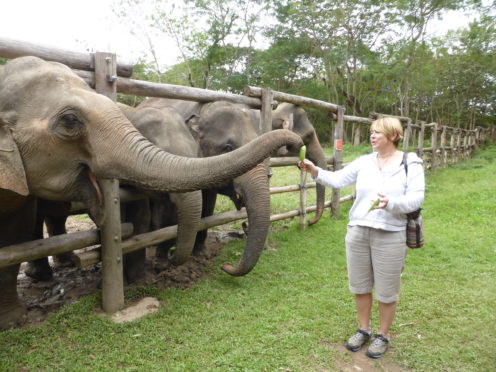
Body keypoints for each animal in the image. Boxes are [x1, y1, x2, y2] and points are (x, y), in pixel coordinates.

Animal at [138, 97, 272, 278]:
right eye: (228, 148)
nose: (225, 265)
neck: (202, 111)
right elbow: (170, 214)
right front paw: (162, 262)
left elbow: (208, 207)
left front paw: (200, 254)